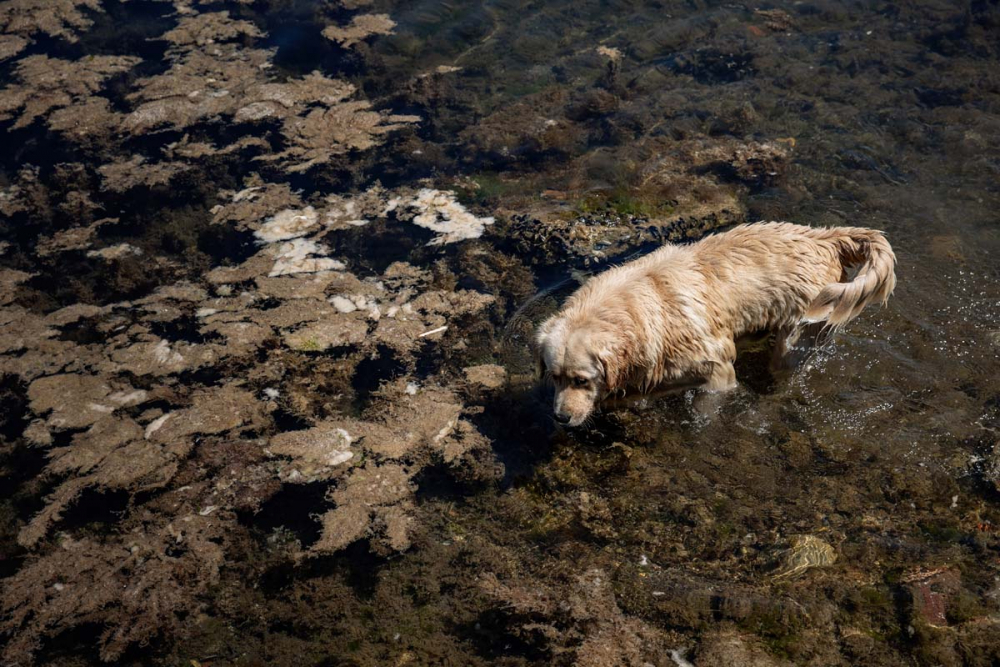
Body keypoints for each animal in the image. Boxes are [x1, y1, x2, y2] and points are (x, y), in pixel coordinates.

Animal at [540, 222, 900, 426]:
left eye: (582, 380)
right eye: (555, 377)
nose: (559, 418)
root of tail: (825, 238)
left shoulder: (718, 371)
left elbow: (706, 402)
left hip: (798, 336)